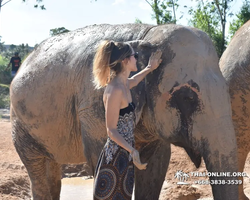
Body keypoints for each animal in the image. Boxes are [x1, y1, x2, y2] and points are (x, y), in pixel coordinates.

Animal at [10, 23, 239, 198]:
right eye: (187, 97)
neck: (147, 34)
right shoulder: (93, 108)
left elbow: (156, 166)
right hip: (21, 126)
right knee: (40, 172)